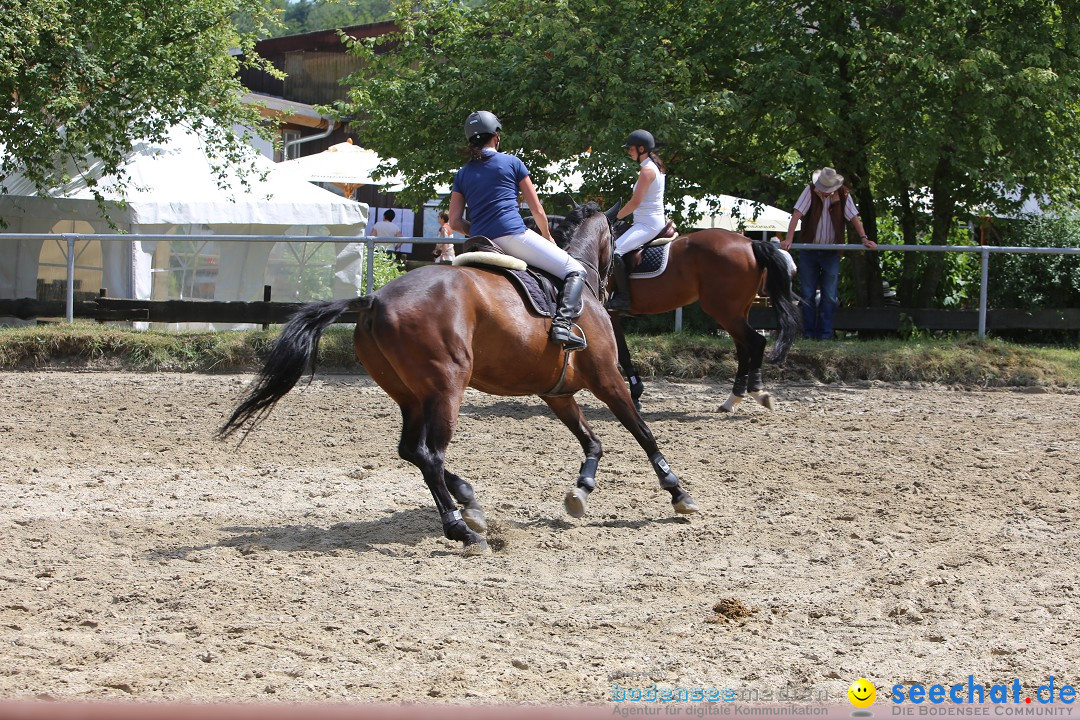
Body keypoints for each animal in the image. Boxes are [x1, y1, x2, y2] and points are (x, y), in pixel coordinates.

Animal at [219, 205, 699, 557]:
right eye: (617, 244)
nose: (618, 296)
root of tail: (374, 298)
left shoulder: (557, 393)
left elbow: (592, 441)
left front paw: (581, 491)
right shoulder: (607, 379)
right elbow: (642, 432)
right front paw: (678, 492)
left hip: (412, 395)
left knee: (410, 450)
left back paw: (469, 502)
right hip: (448, 387)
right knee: (429, 454)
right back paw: (462, 529)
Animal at [609, 227, 803, 414]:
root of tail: (750, 243)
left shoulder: (610, 314)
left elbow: (622, 355)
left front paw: (635, 395)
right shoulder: (613, 315)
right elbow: (623, 353)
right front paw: (635, 394)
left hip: (724, 312)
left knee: (756, 343)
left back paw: (757, 392)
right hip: (737, 313)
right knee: (743, 350)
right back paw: (731, 401)